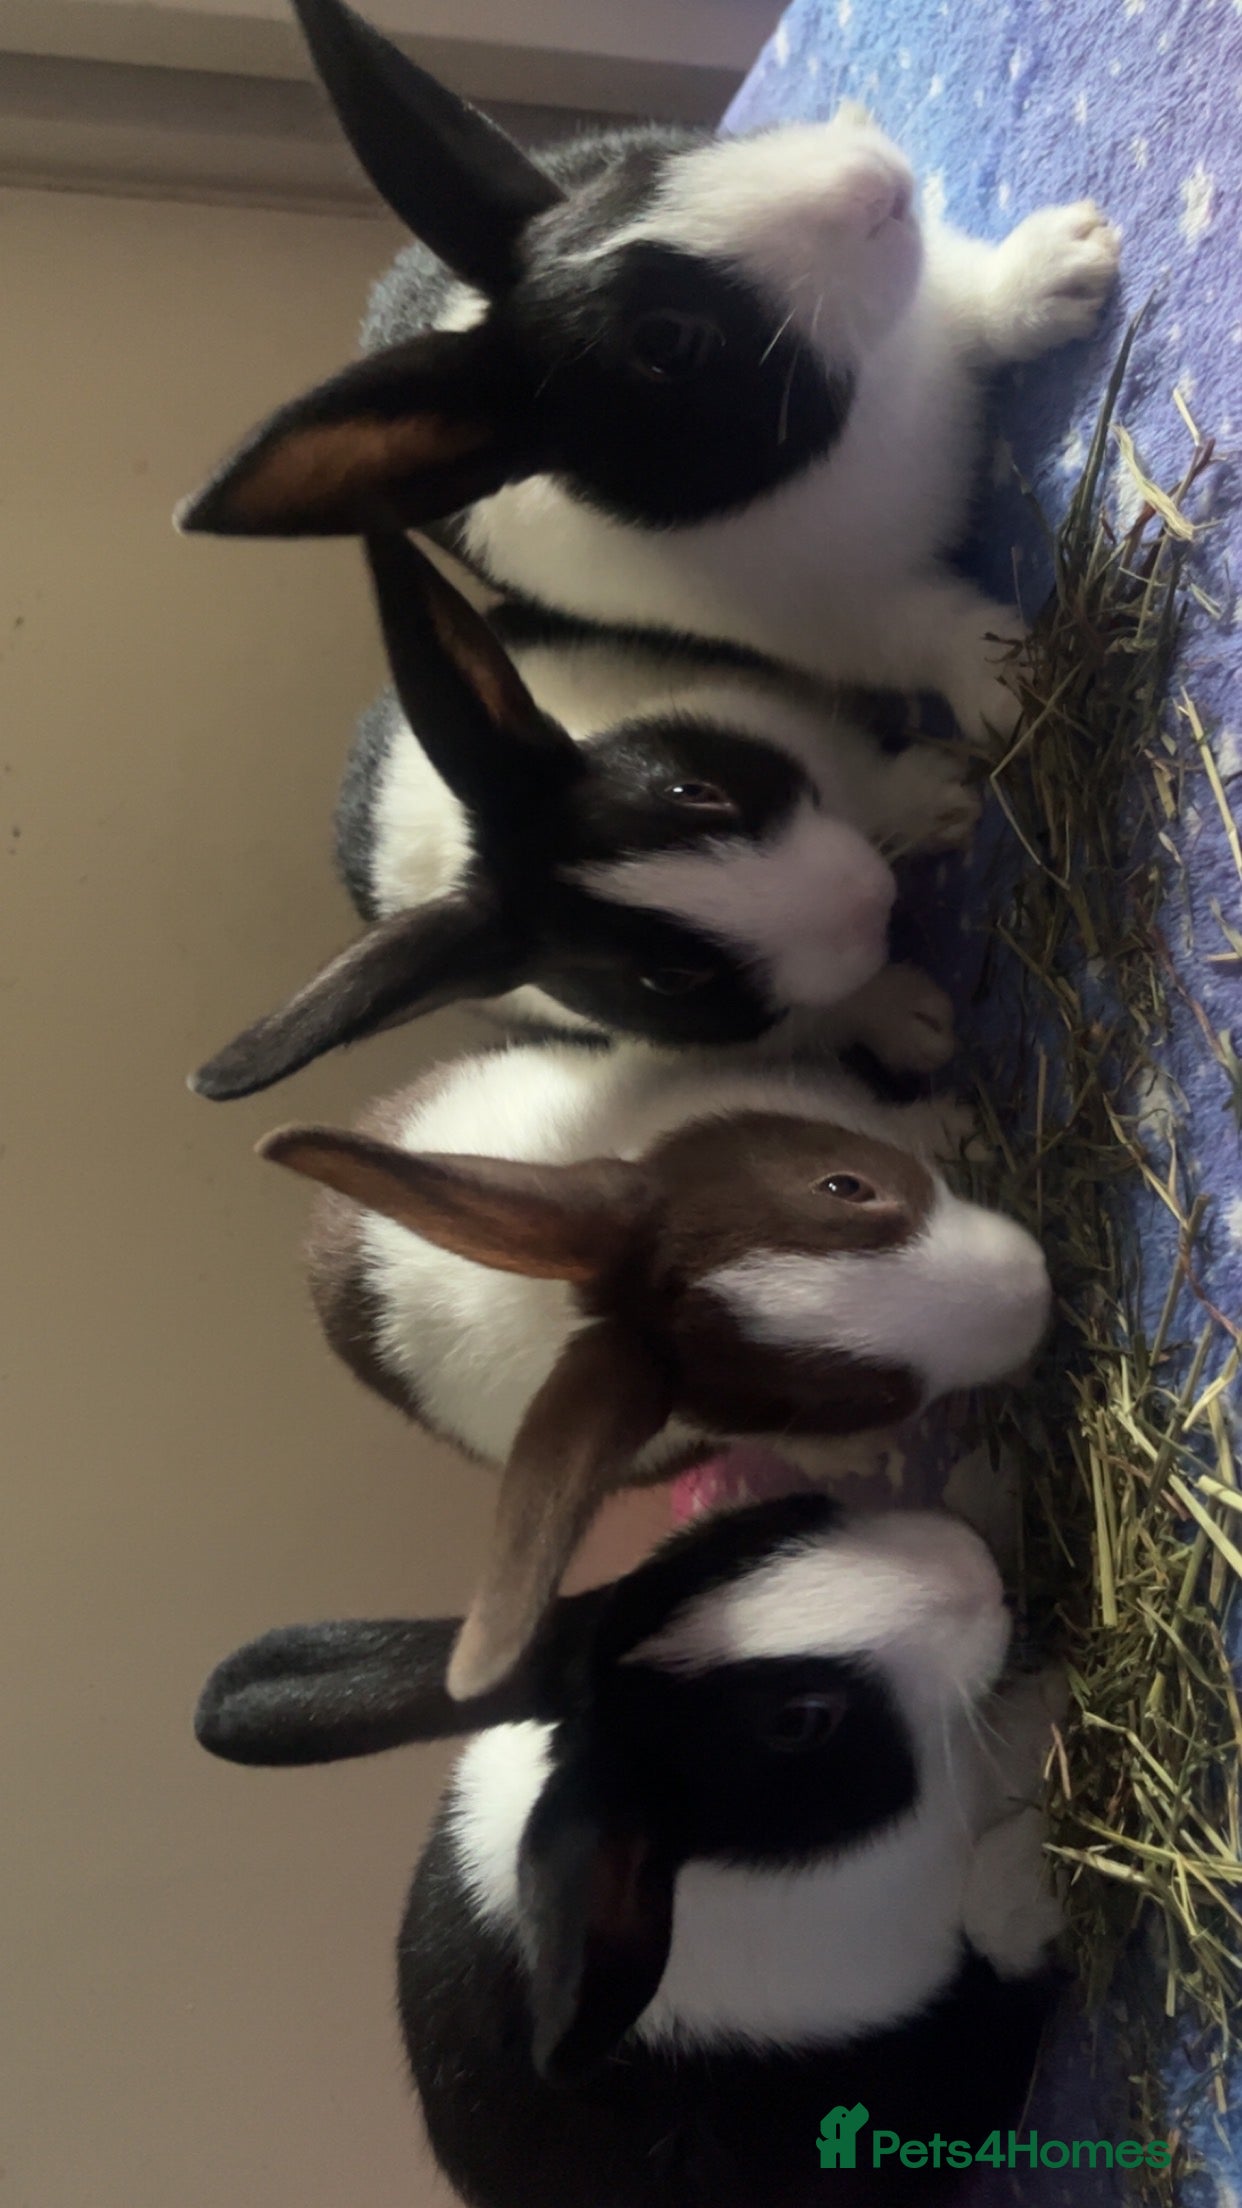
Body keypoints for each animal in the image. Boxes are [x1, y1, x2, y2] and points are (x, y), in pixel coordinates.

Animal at [176, 0, 1121, 740]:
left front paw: (1072, 267)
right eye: (667, 344)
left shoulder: (929, 308)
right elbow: (933, 632)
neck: (863, 411)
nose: (874, 187)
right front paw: (1015, 691)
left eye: (644, 168)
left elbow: (976, 297)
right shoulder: (842, 620)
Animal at [191, 525, 980, 1101]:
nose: (870, 902)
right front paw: (922, 1025)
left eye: (693, 790)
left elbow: (875, 782)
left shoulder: (810, 734)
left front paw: (949, 802)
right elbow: (839, 1008)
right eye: (666, 980)